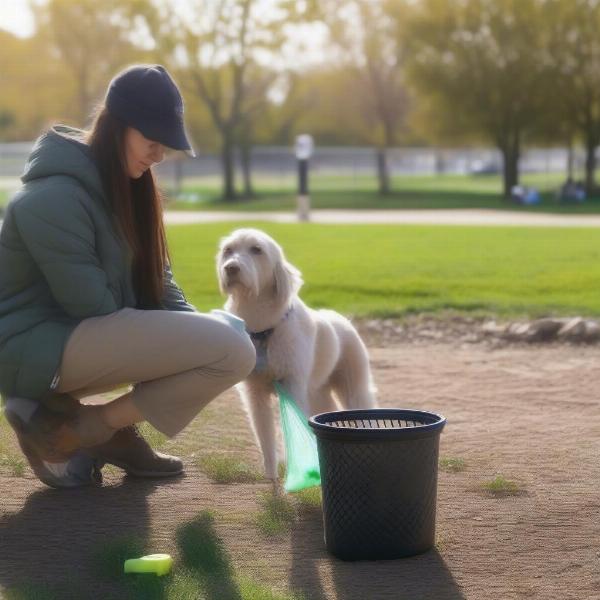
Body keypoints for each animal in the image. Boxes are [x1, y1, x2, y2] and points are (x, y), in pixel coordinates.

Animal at [214, 227, 376, 486]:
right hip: (317, 393)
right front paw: (272, 479)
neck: (263, 330)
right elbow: (266, 440)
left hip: (353, 389)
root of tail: (342, 320)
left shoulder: (290, 386)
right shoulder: (255, 395)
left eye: (256, 250)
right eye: (228, 250)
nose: (231, 268)